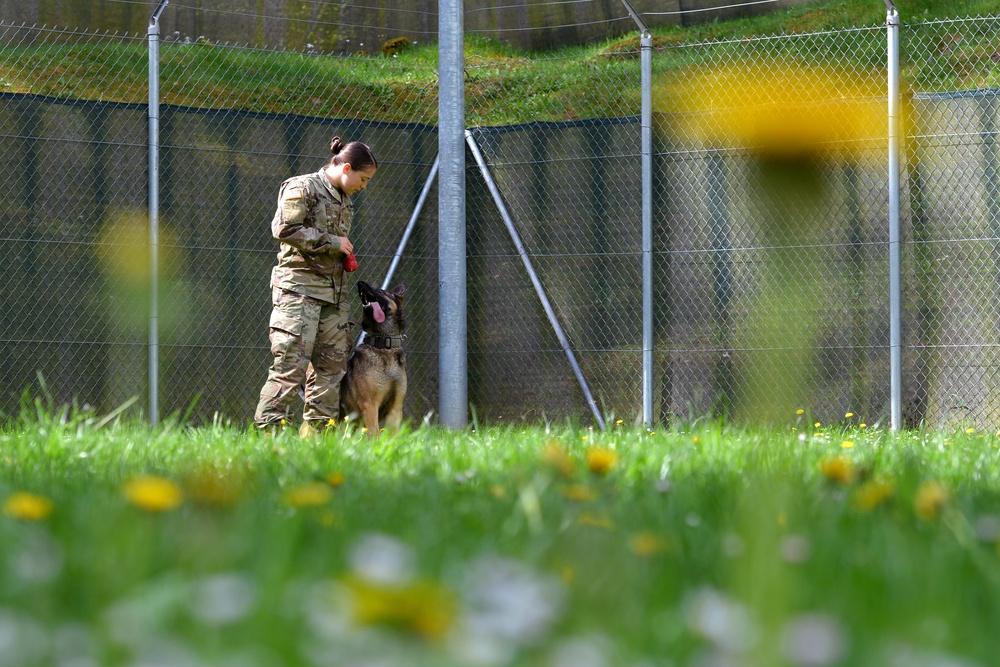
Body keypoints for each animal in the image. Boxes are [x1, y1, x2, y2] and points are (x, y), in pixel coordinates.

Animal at [340, 282, 406, 438]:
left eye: (381, 291)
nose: (360, 283)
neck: (384, 347)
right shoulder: (369, 404)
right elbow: (374, 434)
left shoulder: (396, 408)